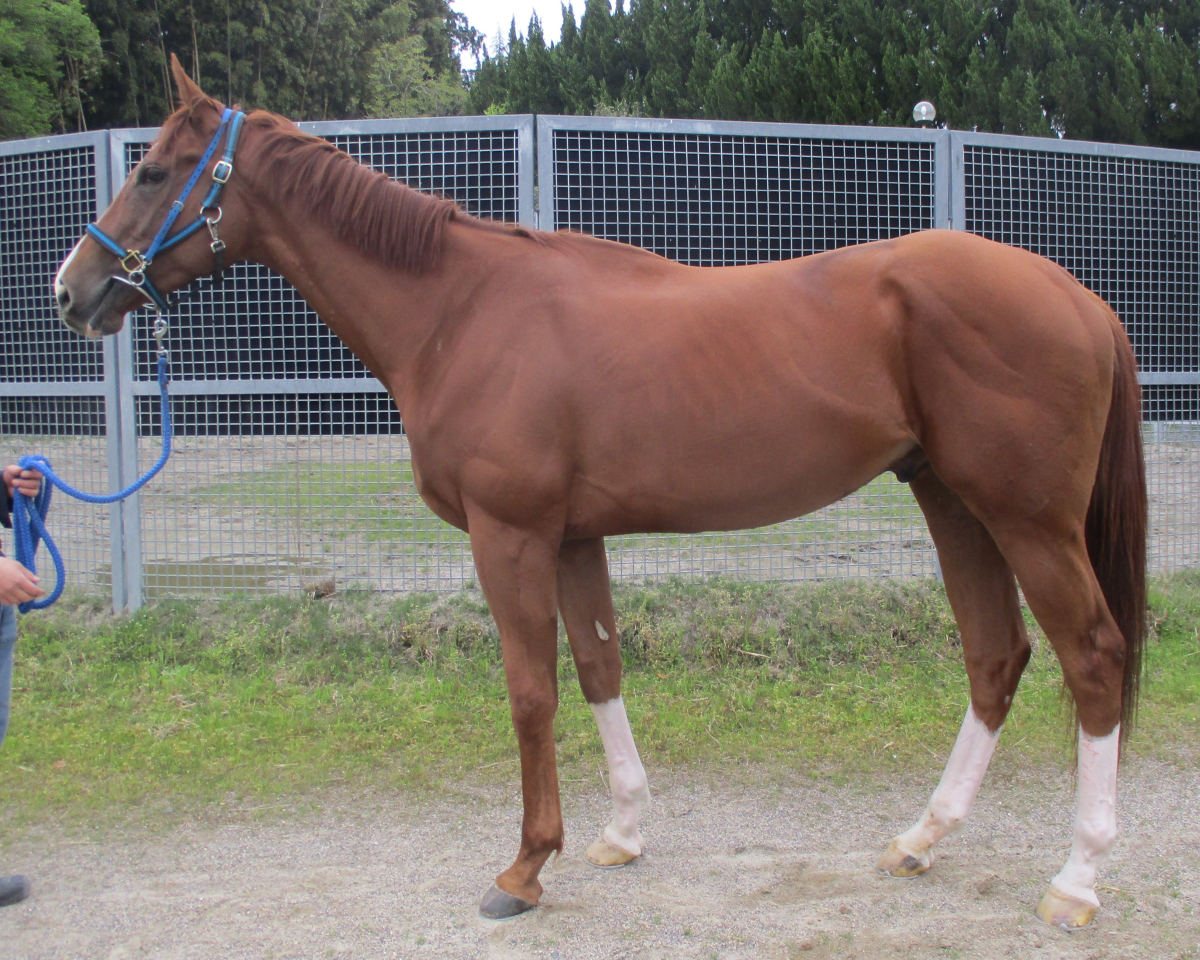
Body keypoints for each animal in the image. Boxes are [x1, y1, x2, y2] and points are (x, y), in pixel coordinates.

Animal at [54, 58, 1146, 928]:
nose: (74, 290)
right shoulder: (574, 538)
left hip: (1027, 520)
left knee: (1093, 659)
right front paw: (621, 832)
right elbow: (597, 668)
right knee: (995, 656)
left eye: (152, 171)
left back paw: (1078, 881)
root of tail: (1081, 299)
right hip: (953, 502)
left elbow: (531, 691)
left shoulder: (509, 536)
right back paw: (922, 837)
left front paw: (525, 868)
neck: (459, 311)